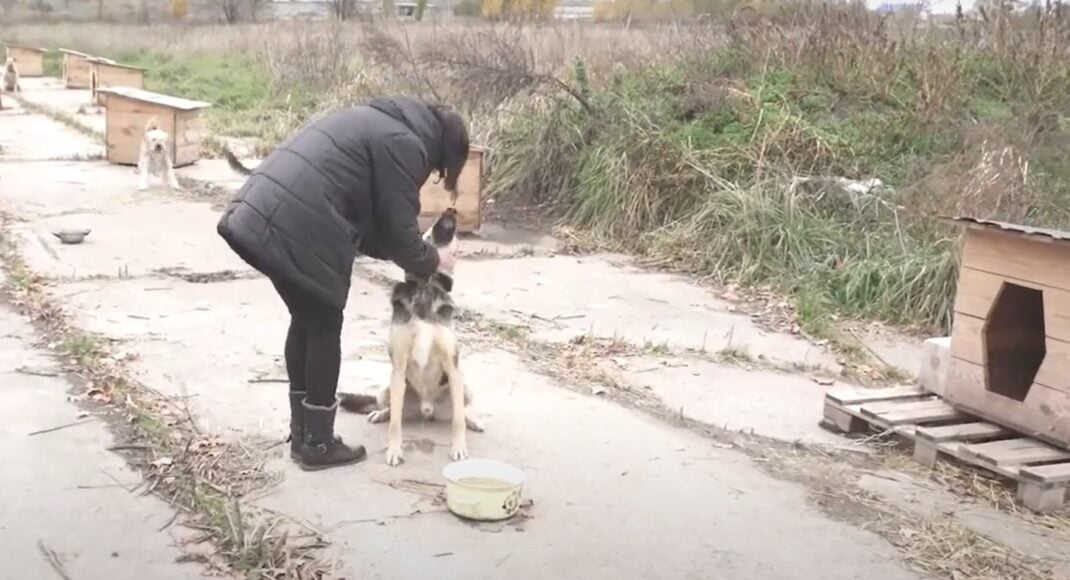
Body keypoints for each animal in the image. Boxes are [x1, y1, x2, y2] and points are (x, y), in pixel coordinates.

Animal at [338, 209, 485, 468]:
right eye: (425, 232)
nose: (450, 211)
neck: (425, 289)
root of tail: (427, 410)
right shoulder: (398, 368)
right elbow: (395, 423)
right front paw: (394, 451)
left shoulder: (453, 367)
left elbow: (458, 420)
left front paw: (459, 448)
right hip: (386, 389)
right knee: (391, 410)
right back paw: (379, 413)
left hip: (464, 387)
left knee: (460, 411)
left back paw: (473, 420)